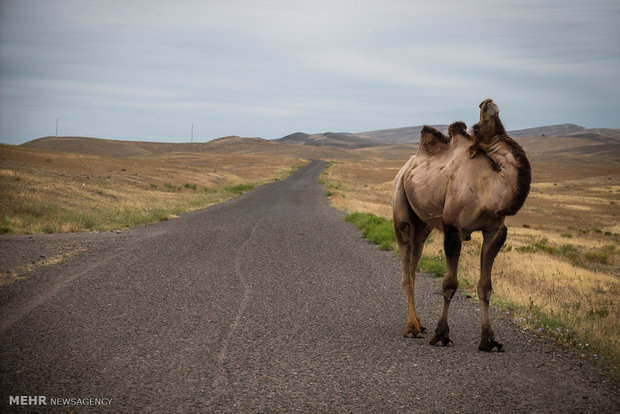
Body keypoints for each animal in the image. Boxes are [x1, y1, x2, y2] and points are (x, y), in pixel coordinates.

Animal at [392, 98, 532, 350]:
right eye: (476, 128)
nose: (487, 103)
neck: (488, 188)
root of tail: (407, 166)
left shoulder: (494, 231)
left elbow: (485, 286)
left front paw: (489, 340)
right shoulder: (453, 228)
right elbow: (449, 283)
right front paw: (441, 335)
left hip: (423, 224)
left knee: (414, 263)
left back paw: (419, 323)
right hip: (400, 205)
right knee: (406, 268)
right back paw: (412, 328)